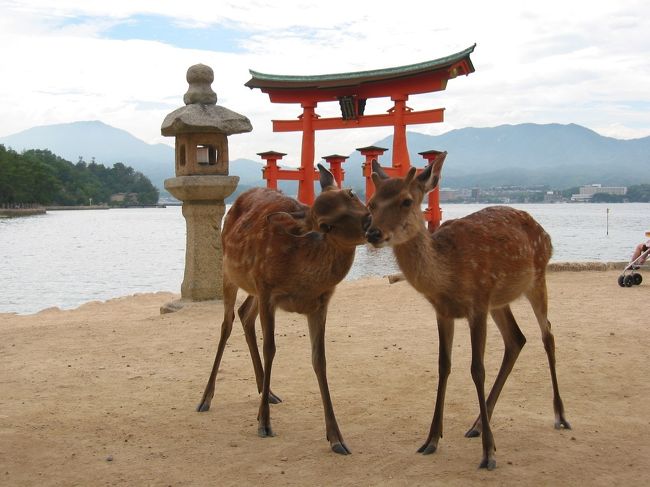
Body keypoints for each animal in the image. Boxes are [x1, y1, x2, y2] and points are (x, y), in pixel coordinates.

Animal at [195, 165, 370, 458]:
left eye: (351, 192)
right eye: (325, 226)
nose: (369, 223)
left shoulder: (320, 303)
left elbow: (320, 360)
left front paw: (336, 438)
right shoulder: (268, 291)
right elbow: (271, 349)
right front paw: (264, 424)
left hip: (253, 287)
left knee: (244, 313)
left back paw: (267, 392)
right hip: (230, 272)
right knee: (227, 323)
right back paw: (206, 398)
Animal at [364, 153, 568, 472]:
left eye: (407, 201)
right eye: (372, 203)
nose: (373, 233)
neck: (447, 274)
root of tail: (544, 233)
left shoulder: (478, 305)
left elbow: (477, 369)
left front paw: (489, 454)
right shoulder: (443, 312)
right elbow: (443, 366)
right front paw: (431, 439)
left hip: (537, 278)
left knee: (547, 334)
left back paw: (559, 415)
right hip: (500, 301)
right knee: (517, 339)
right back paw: (478, 425)